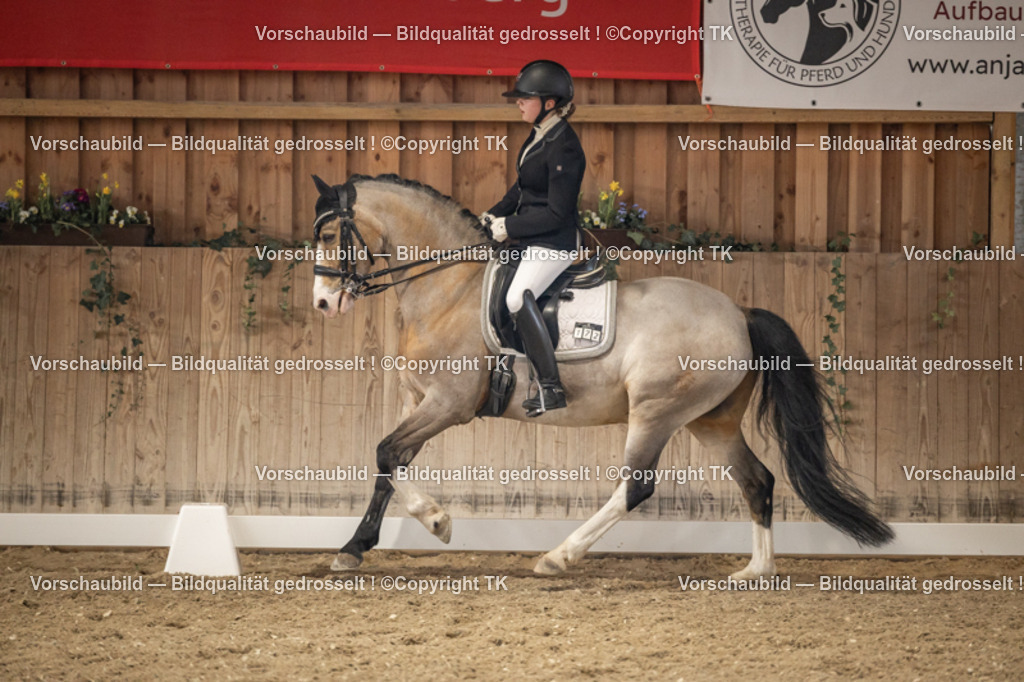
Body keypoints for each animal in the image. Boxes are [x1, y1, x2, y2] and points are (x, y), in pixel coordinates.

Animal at [310, 173, 893, 578]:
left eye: (331, 233)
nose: (322, 303)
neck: (448, 289)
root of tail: (740, 314)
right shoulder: (418, 400)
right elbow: (389, 462)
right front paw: (364, 545)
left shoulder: (448, 405)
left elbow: (386, 452)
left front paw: (431, 523)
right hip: (712, 422)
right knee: (758, 480)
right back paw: (757, 570)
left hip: (656, 412)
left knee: (636, 485)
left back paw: (558, 557)